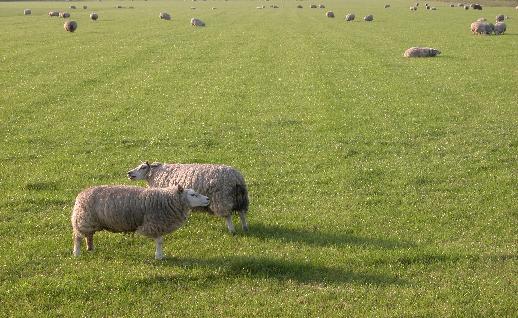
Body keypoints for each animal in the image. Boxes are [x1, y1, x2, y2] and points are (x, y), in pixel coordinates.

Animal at [72, 185, 210, 260]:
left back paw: (90, 248)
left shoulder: (159, 224)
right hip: (84, 220)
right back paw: (76, 253)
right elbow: (159, 241)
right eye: (193, 195)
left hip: (89, 221)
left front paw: (160, 255)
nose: (208, 199)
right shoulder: (155, 223)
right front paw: (159, 256)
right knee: (78, 237)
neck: (167, 200)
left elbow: (160, 241)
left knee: (89, 235)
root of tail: (81, 194)